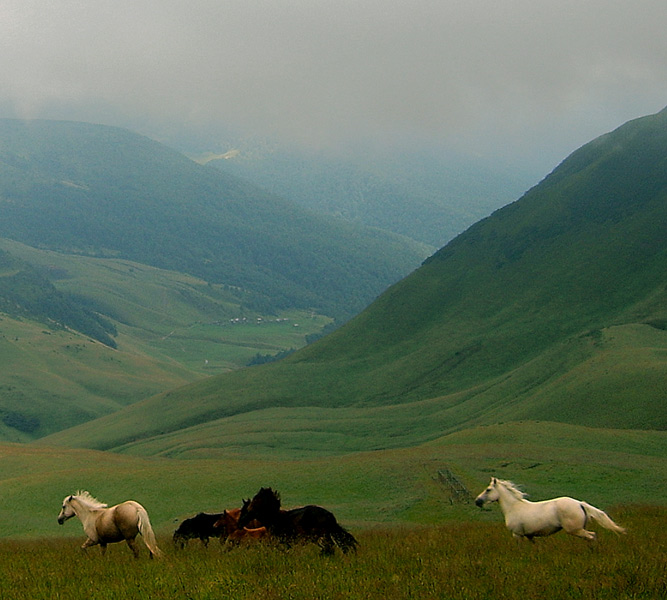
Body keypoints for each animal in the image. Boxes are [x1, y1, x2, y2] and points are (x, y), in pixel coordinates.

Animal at [474, 480, 628, 540]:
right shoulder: (529, 536)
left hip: (575, 530)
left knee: (591, 536)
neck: (513, 507)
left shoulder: (517, 534)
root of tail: (579, 503)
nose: (477, 501)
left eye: (488, 490)